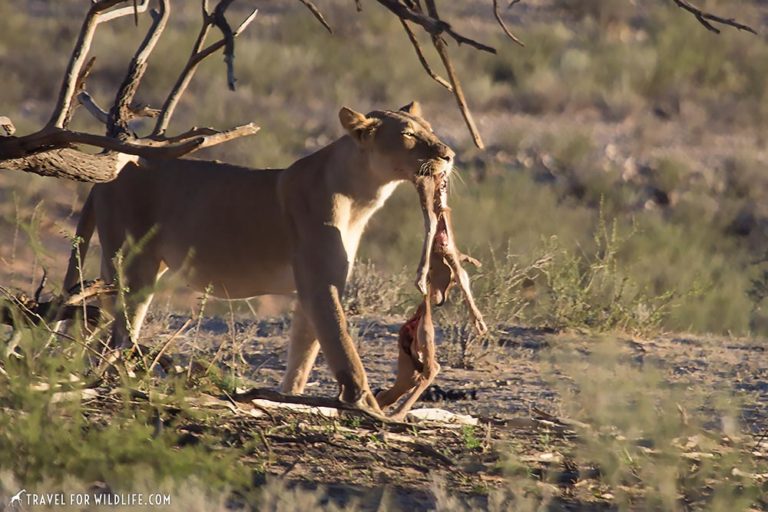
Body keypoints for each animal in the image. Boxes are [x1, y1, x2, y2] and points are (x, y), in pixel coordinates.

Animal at [62, 102, 454, 415]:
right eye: (408, 134)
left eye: (431, 130)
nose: (449, 155)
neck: (361, 195)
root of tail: (106, 175)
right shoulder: (320, 285)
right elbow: (343, 348)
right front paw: (369, 408)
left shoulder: (314, 288)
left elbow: (304, 355)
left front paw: (291, 400)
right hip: (134, 264)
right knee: (117, 333)